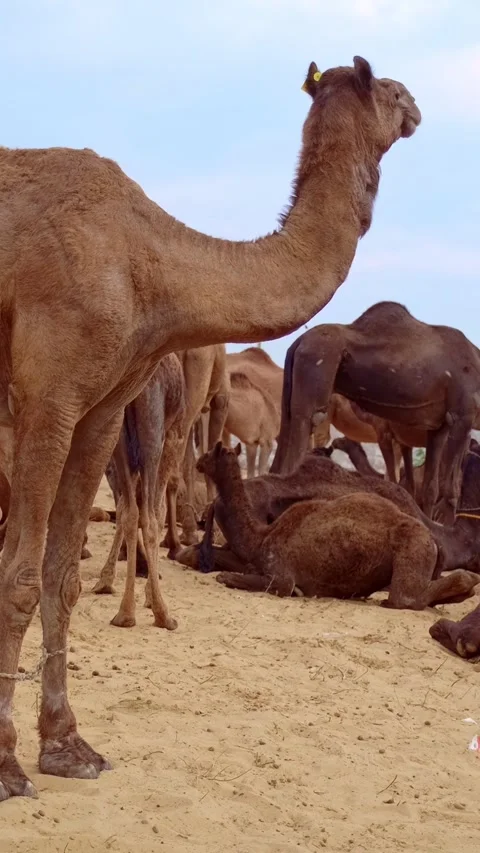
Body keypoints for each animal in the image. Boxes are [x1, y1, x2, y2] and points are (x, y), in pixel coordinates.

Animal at [91, 354, 185, 627]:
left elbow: (124, 509)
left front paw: (105, 580)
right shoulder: (174, 438)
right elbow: (157, 511)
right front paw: (151, 598)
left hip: (119, 437)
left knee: (131, 512)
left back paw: (124, 614)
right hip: (153, 437)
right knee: (149, 516)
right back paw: (164, 615)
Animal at [196, 444, 479, 607]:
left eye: (210, 453)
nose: (198, 461)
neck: (260, 537)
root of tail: (432, 539)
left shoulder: (281, 575)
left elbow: (236, 578)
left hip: (413, 547)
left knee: (405, 597)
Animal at [271, 302, 480, 524]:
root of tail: (298, 342)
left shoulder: (437, 426)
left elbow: (431, 488)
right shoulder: (463, 414)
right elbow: (448, 489)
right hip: (317, 364)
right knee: (304, 430)